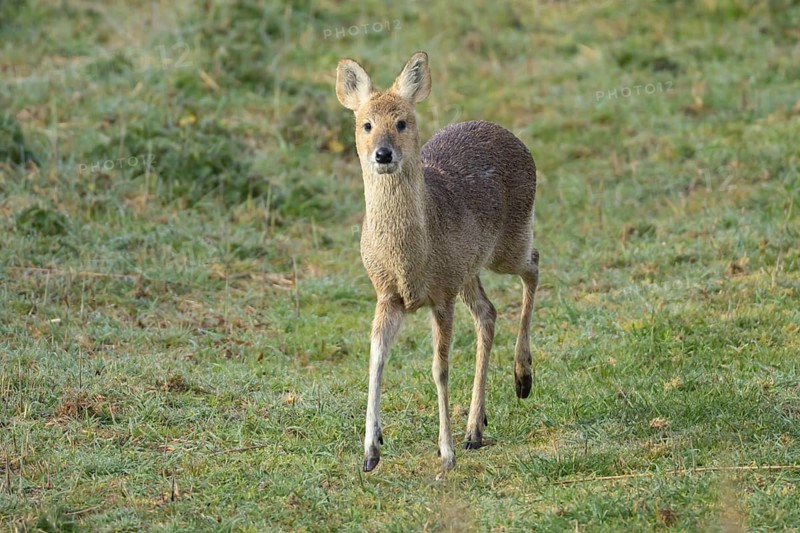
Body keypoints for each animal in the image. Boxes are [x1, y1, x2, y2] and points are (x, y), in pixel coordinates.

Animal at [335, 51, 539, 473]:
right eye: (366, 124)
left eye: (402, 122)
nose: (383, 154)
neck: (408, 259)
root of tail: (510, 136)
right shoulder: (387, 295)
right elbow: (376, 359)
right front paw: (371, 450)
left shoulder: (441, 296)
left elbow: (439, 369)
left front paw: (445, 453)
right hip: (469, 269)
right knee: (488, 312)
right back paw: (475, 428)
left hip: (507, 244)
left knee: (533, 266)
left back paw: (522, 378)